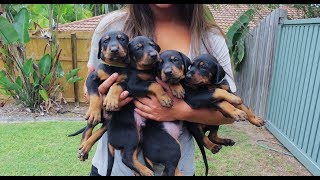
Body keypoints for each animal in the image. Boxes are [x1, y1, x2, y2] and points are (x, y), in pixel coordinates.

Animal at [68, 30, 129, 161]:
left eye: (122, 39)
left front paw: (111, 100)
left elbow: (116, 85)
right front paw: (94, 111)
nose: (114, 50)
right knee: (87, 130)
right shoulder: (91, 79)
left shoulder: (127, 82)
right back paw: (83, 149)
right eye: (105, 41)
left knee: (98, 133)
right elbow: (95, 95)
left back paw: (85, 147)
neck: (114, 66)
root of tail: (102, 119)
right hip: (92, 121)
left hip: (109, 121)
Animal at [106, 35, 170, 176]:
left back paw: (140, 171)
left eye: (152, 45)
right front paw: (165, 97)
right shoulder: (132, 85)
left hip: (139, 140)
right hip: (131, 135)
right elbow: (154, 84)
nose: (154, 55)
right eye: (138, 48)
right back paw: (146, 171)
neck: (145, 70)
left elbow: (160, 81)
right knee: (126, 158)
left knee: (131, 158)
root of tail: (110, 141)